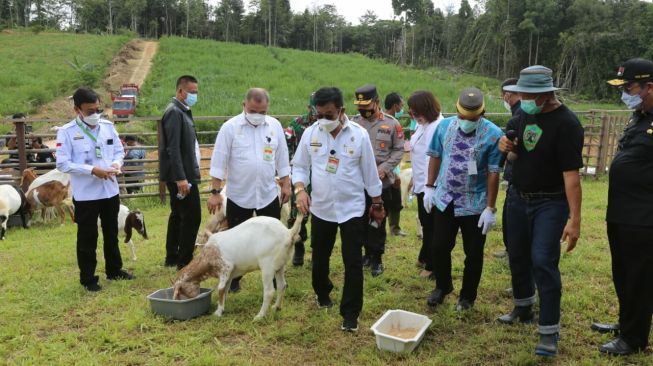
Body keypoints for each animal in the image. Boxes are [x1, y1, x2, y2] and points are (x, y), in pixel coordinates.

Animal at [174, 212, 304, 320]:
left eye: (181, 290)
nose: (178, 301)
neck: (206, 257)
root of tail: (288, 233)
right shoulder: (229, 275)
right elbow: (225, 290)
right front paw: (222, 308)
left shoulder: (226, 267)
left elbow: (220, 289)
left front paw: (217, 313)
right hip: (280, 266)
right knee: (282, 285)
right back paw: (276, 307)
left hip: (267, 265)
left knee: (269, 291)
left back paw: (259, 316)